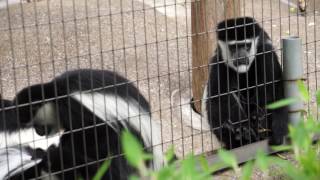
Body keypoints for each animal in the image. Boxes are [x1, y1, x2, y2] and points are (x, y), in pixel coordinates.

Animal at [4, 68, 164, 179]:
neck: (55, 94)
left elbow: (87, 132)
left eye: (37, 125)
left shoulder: (74, 107)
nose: (39, 132)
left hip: (125, 138)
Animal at [202, 16, 290, 149]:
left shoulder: (267, 54)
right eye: (233, 47)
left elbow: (276, 93)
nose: (241, 57)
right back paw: (240, 136)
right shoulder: (219, 62)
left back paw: (258, 123)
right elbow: (217, 100)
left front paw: (278, 132)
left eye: (246, 46)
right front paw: (239, 129)